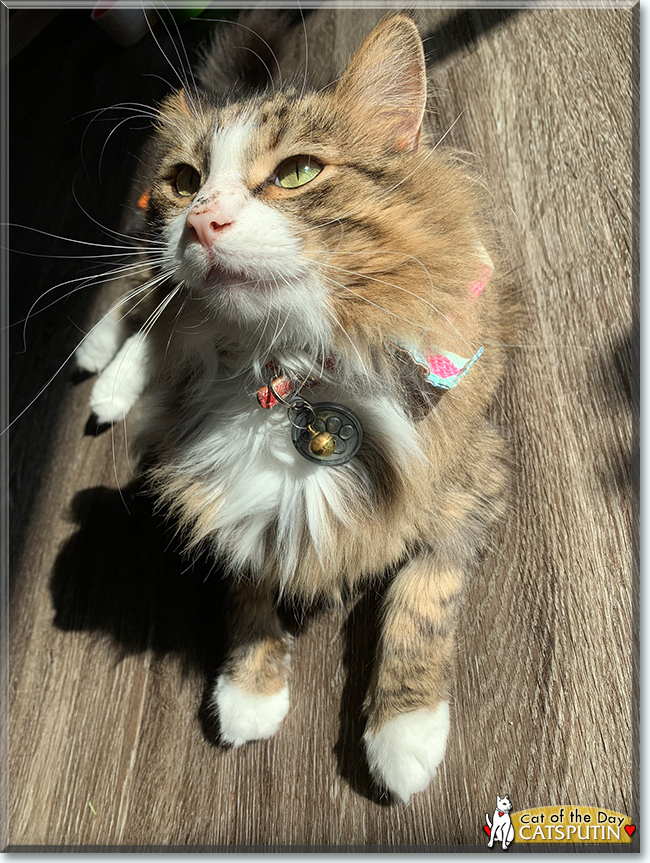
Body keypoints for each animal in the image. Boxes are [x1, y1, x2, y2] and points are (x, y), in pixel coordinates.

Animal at [74, 11, 512, 804]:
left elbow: (421, 600)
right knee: (140, 296)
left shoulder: (472, 485)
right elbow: (246, 583)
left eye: (298, 173)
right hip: (153, 264)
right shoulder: (205, 485)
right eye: (186, 181)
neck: (284, 374)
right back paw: (104, 372)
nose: (200, 220)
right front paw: (250, 693)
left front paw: (403, 737)